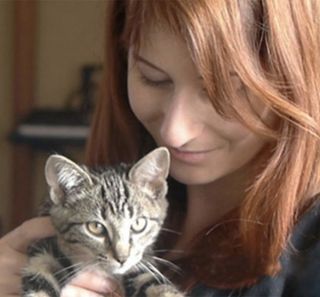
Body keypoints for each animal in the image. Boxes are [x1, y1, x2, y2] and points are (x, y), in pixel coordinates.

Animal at [21, 147, 182, 294]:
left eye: (138, 224)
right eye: (95, 227)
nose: (122, 259)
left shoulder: (142, 261)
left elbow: (156, 284)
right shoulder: (48, 245)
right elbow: (41, 275)